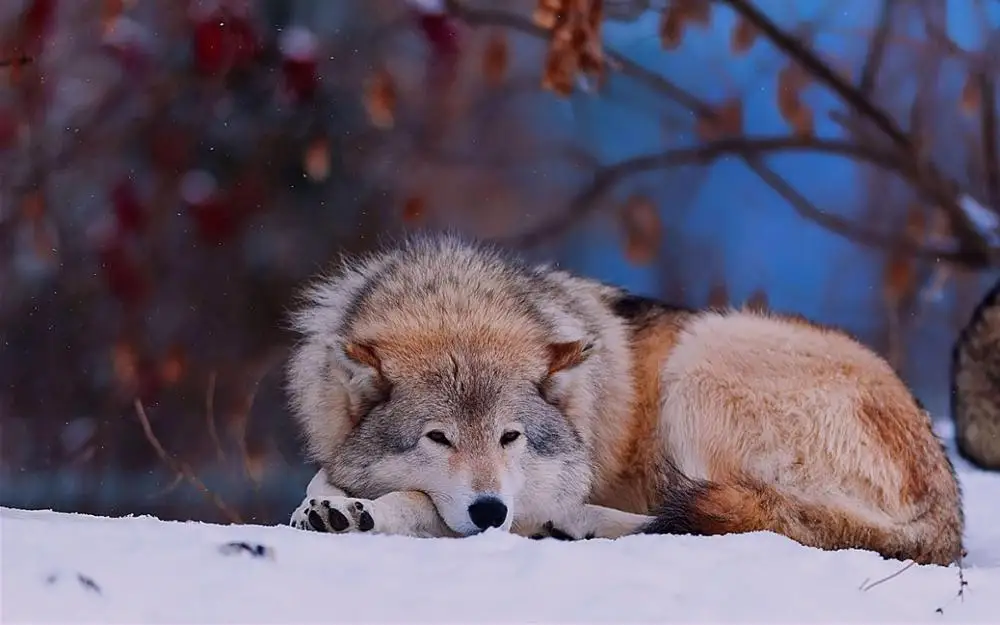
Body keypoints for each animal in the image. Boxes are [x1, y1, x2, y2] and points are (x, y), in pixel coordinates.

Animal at [285, 234, 964, 565]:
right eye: (438, 437)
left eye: (511, 437)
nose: (490, 510)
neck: (455, 302)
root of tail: (948, 508)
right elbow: (324, 475)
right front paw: (326, 505)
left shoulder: (522, 496)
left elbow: (422, 503)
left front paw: (364, 513)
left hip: (699, 364)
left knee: (736, 520)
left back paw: (574, 525)